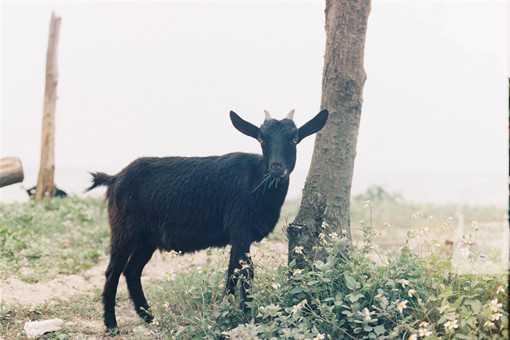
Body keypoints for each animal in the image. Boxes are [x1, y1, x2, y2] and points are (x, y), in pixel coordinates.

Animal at [86, 109, 328, 332]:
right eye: (262, 139)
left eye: (294, 138)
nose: (277, 168)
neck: (258, 181)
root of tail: (115, 178)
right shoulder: (240, 231)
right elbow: (242, 272)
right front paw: (240, 315)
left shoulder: (241, 237)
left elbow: (237, 271)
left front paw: (233, 311)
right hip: (124, 231)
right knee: (113, 272)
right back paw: (112, 325)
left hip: (147, 239)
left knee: (132, 270)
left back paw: (149, 318)